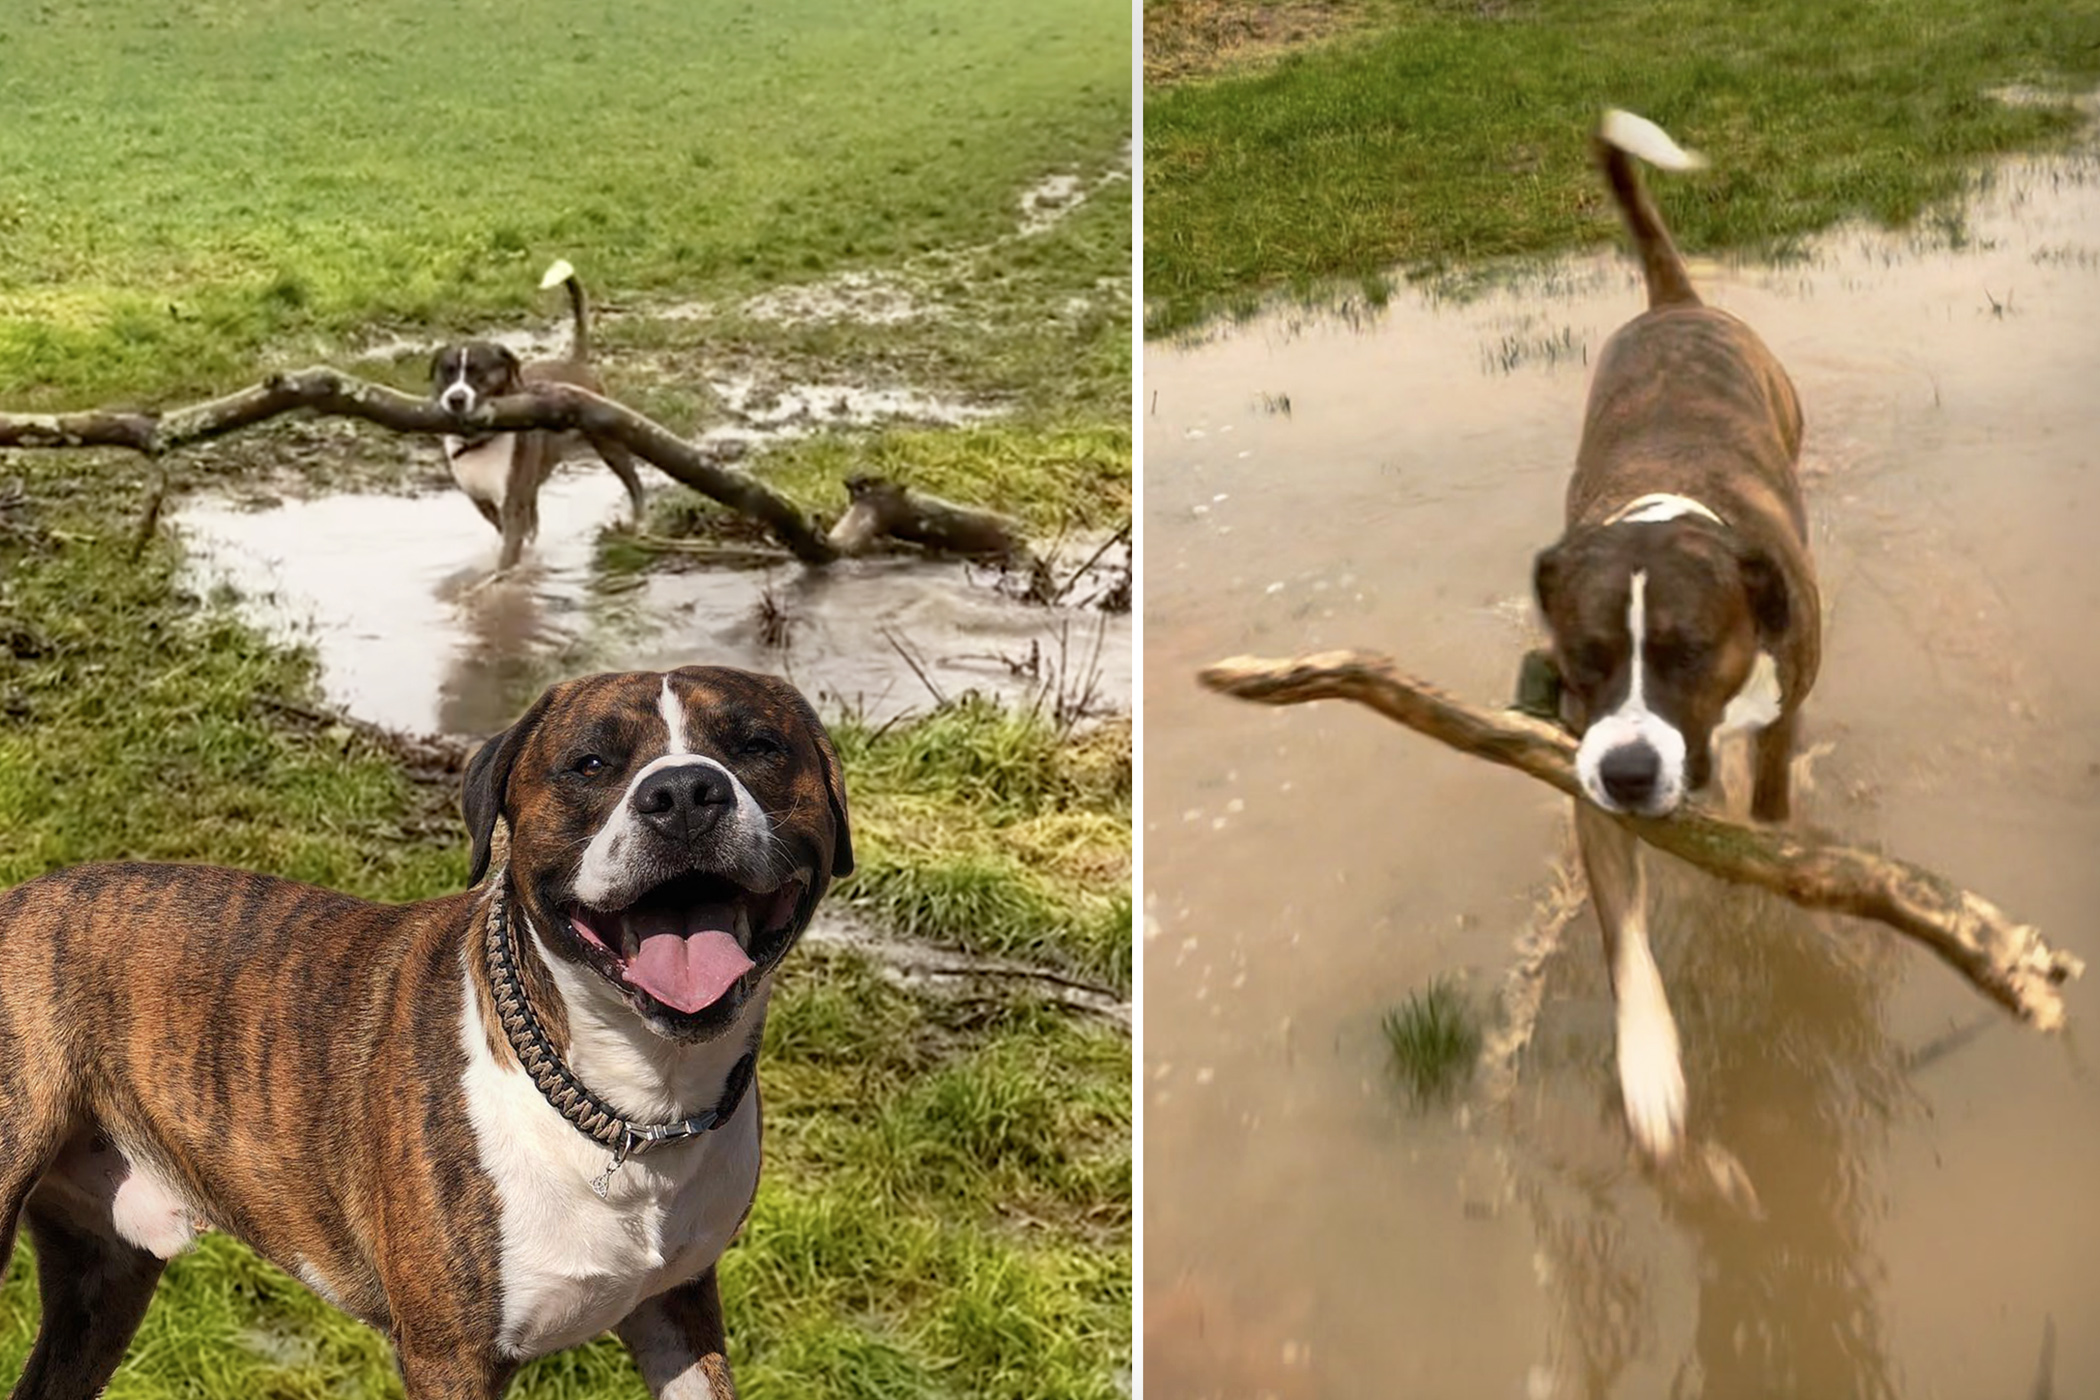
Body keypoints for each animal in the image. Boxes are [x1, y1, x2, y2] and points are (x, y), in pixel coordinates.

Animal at [432, 257, 646, 570]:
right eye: (447, 372)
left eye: (478, 373)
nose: (456, 399)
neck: (479, 443)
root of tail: (575, 361)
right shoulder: (482, 500)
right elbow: (510, 531)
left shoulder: (513, 502)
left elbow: (511, 546)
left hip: (609, 444)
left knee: (634, 482)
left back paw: (639, 519)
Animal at [1528, 107, 1822, 1158]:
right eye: (1581, 662)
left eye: (1689, 654)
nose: (1628, 773)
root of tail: (1676, 302)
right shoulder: (1584, 781)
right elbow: (1626, 948)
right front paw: (1650, 1070)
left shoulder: (1783, 700)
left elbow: (1769, 800)